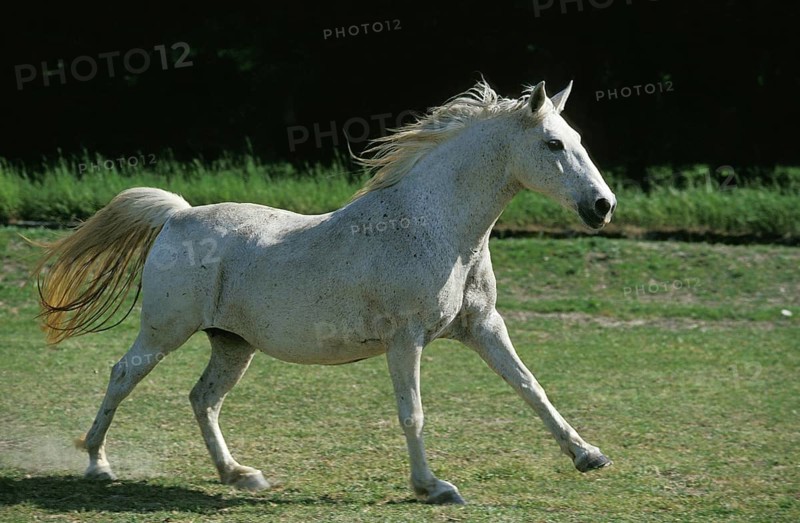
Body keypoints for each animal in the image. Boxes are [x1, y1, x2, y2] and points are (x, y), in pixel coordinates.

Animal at [35, 79, 616, 504]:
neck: (437, 228)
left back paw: (239, 475)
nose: (602, 206)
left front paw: (587, 456)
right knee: (122, 375)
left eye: (579, 139)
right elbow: (413, 412)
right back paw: (97, 464)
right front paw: (433, 488)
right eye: (553, 143)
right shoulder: (406, 339)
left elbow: (531, 388)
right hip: (165, 331)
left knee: (203, 398)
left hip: (231, 343)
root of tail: (177, 215)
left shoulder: (483, 327)